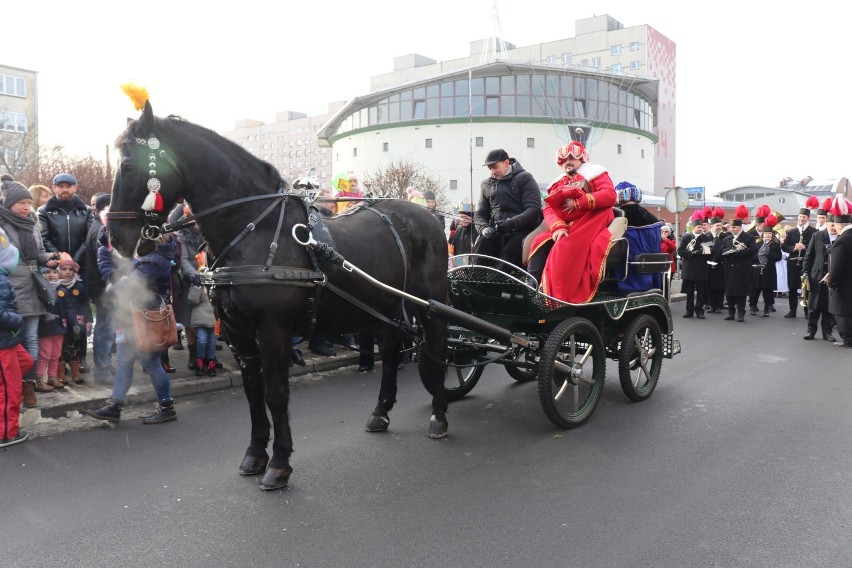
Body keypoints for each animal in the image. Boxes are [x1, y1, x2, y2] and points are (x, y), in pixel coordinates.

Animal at [108, 100, 446, 490]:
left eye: (128, 165)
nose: (115, 237)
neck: (255, 226)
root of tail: (428, 215)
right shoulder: (238, 334)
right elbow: (254, 394)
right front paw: (255, 454)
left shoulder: (273, 331)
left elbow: (275, 393)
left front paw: (280, 463)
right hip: (384, 305)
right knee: (390, 352)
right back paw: (381, 412)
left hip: (431, 304)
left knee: (438, 347)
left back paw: (439, 415)